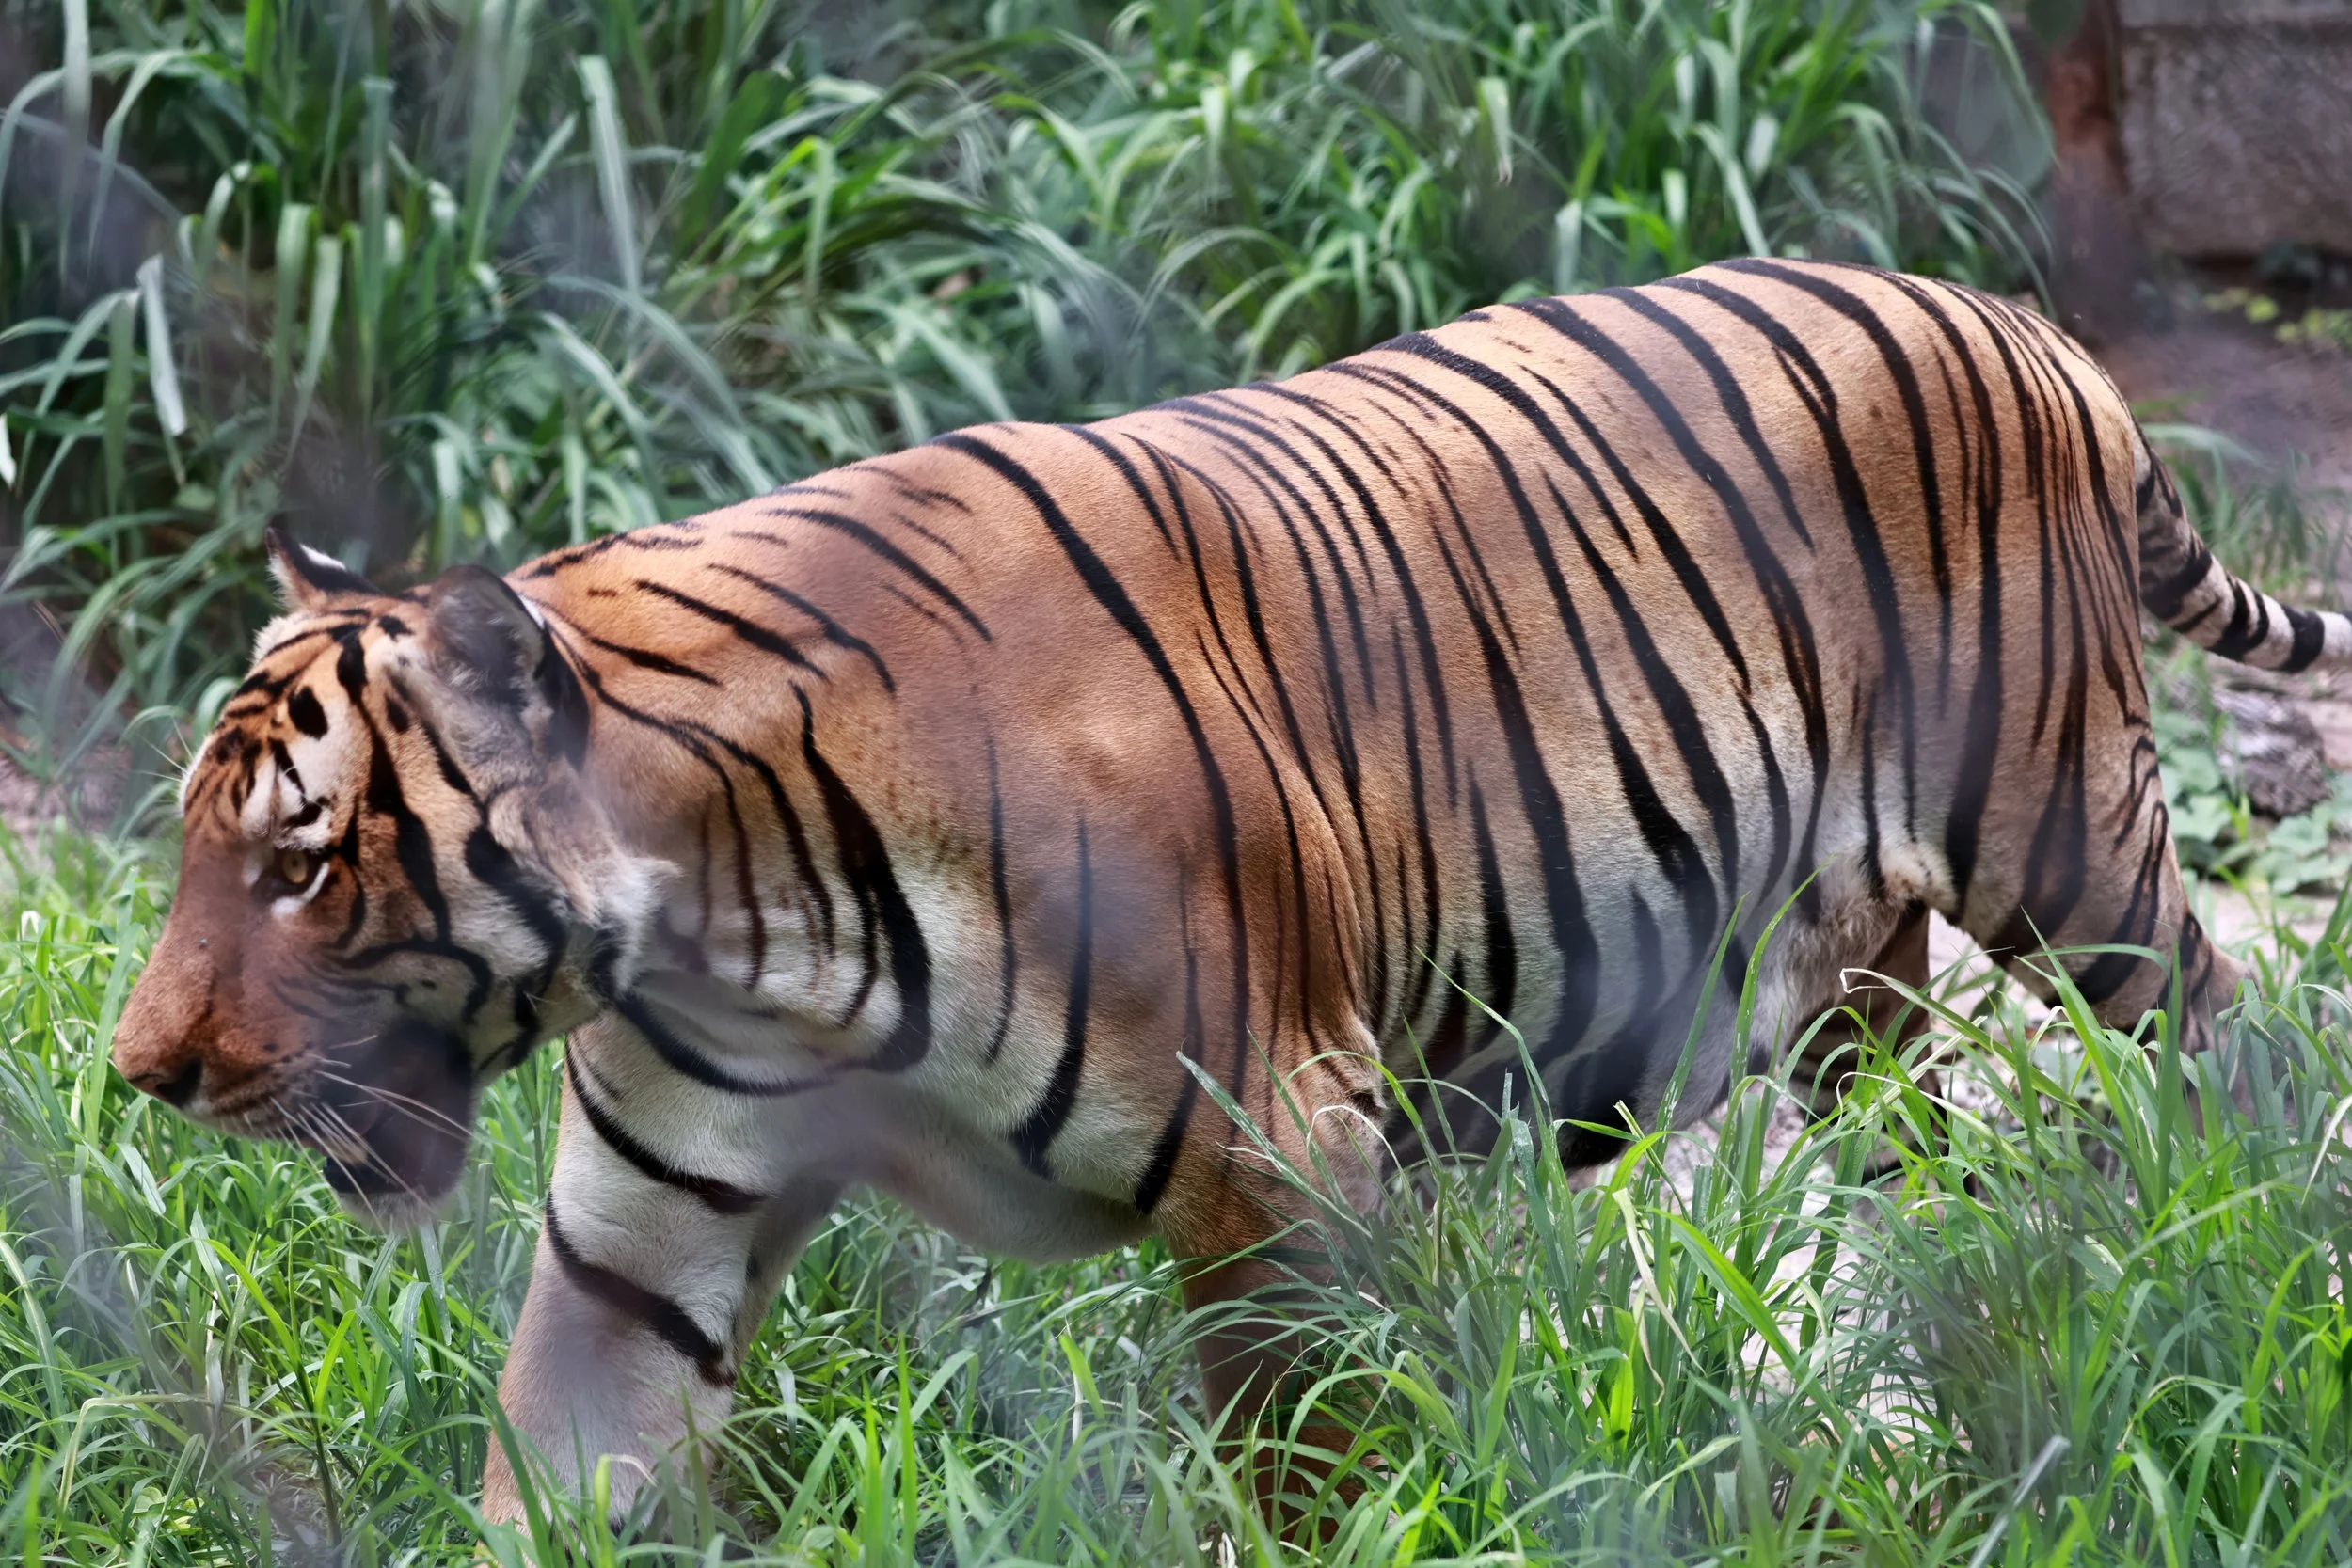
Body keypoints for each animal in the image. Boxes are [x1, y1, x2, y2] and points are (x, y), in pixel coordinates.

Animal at [111, 258, 2349, 1528]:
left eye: (298, 859)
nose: (140, 1072)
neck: (735, 937)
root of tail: (2020, 321)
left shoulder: (1275, 1161)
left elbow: (1299, 1477)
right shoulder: (637, 1241)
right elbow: (558, 1478)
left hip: (2066, 842)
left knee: (2219, 1042)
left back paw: (2250, 1268)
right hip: (1849, 969)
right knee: (1896, 1176)